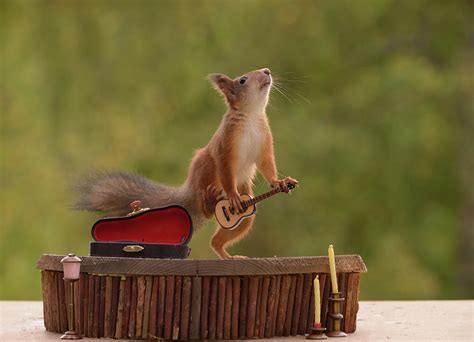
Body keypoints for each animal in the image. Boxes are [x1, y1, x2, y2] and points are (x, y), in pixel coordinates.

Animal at [77, 67, 300, 260]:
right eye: (242, 80)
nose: (267, 71)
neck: (252, 116)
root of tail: (191, 188)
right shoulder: (225, 146)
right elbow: (226, 169)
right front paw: (234, 197)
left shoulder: (264, 142)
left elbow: (267, 165)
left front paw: (280, 183)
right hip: (204, 167)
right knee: (207, 202)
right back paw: (209, 202)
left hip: (246, 213)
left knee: (223, 236)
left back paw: (226, 252)